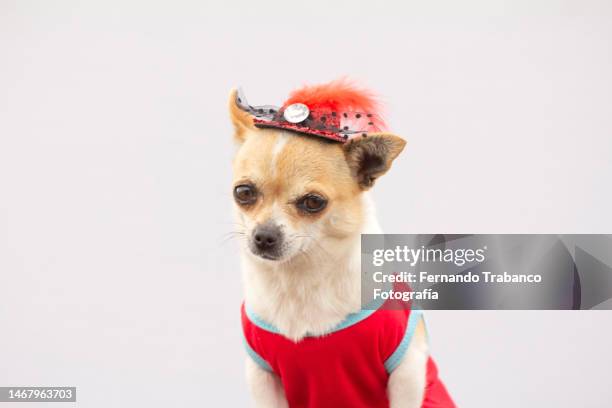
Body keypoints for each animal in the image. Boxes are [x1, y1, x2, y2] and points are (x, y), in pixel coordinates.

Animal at [227, 81, 452, 406]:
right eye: (243, 192)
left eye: (313, 202)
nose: (264, 236)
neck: (300, 277)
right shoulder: (262, 378)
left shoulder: (408, 370)